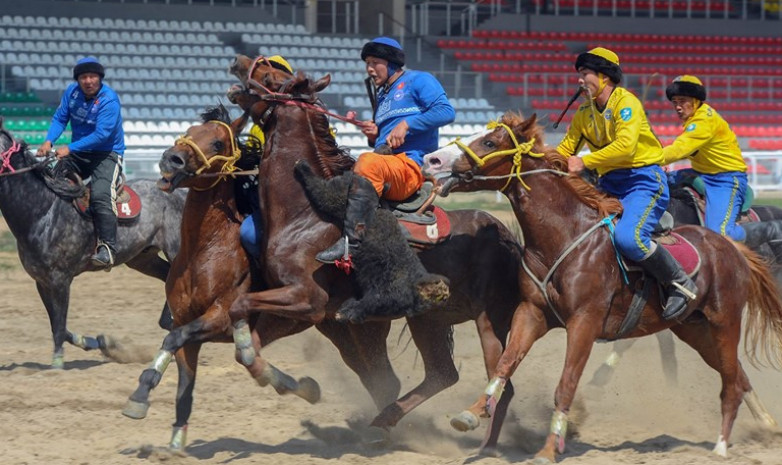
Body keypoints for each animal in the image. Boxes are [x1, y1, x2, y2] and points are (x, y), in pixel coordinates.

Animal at [0, 126, 182, 366]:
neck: (43, 212)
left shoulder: (60, 280)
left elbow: (59, 324)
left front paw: (57, 363)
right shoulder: (42, 282)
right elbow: (58, 326)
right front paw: (97, 342)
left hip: (175, 250)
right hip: (143, 258)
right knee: (167, 275)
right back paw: (168, 322)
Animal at [122, 105, 404, 450]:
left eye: (218, 142)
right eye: (188, 132)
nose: (170, 159)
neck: (204, 251)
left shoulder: (216, 318)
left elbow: (174, 339)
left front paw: (139, 396)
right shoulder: (186, 324)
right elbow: (184, 385)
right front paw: (174, 442)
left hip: (367, 331)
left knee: (386, 381)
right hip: (343, 333)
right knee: (376, 378)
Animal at [211, 56, 528, 452]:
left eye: (270, 77)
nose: (237, 61)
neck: (306, 211)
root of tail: (507, 235)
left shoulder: (308, 299)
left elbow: (240, 307)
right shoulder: (302, 310)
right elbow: (247, 348)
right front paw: (292, 383)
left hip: (489, 319)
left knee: (497, 382)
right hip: (429, 318)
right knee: (442, 373)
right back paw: (385, 422)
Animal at [426, 111, 782, 460]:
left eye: (489, 142)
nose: (433, 159)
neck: (564, 236)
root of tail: (731, 246)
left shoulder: (584, 322)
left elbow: (566, 384)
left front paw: (548, 449)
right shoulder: (532, 313)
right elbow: (504, 364)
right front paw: (472, 412)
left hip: (725, 322)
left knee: (731, 382)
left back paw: (721, 445)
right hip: (693, 328)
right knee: (735, 373)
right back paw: (764, 424)